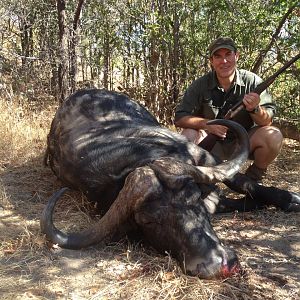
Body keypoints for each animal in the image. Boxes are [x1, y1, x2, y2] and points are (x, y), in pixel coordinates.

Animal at [40, 88, 300, 278]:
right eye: (150, 221)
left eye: (194, 200)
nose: (218, 265)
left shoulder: (207, 159)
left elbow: (246, 184)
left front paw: (291, 199)